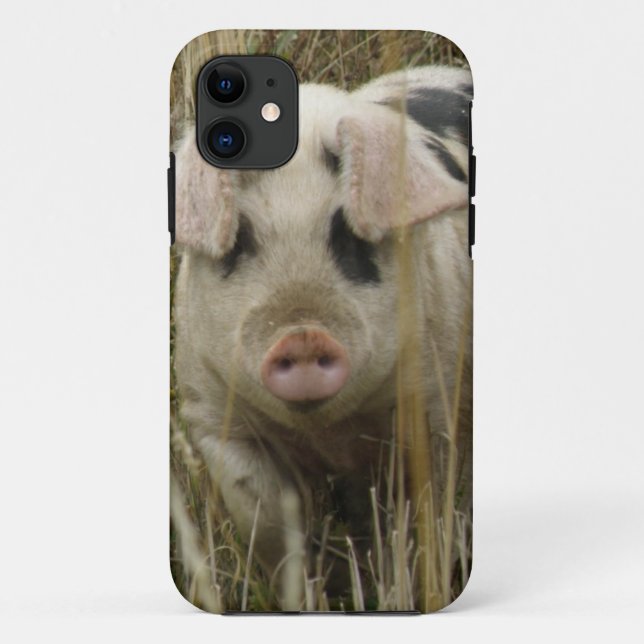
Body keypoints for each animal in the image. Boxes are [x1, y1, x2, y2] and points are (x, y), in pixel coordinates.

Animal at [172, 65, 473, 586]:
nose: (303, 336)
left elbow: (424, 512)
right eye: (239, 240)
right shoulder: (212, 412)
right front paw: (309, 584)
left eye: (349, 234)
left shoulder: (435, 400)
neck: (328, 432)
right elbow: (264, 518)